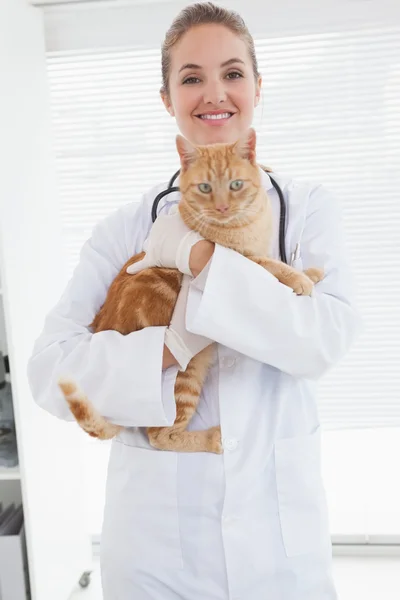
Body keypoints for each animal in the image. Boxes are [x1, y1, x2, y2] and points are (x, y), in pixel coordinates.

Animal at [58, 127, 322, 454]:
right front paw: (300, 278)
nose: (222, 207)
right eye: (205, 188)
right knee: (160, 436)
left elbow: (278, 261)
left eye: (235, 185)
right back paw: (214, 439)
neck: (245, 222)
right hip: (184, 377)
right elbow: (268, 267)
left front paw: (310, 272)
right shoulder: (238, 258)